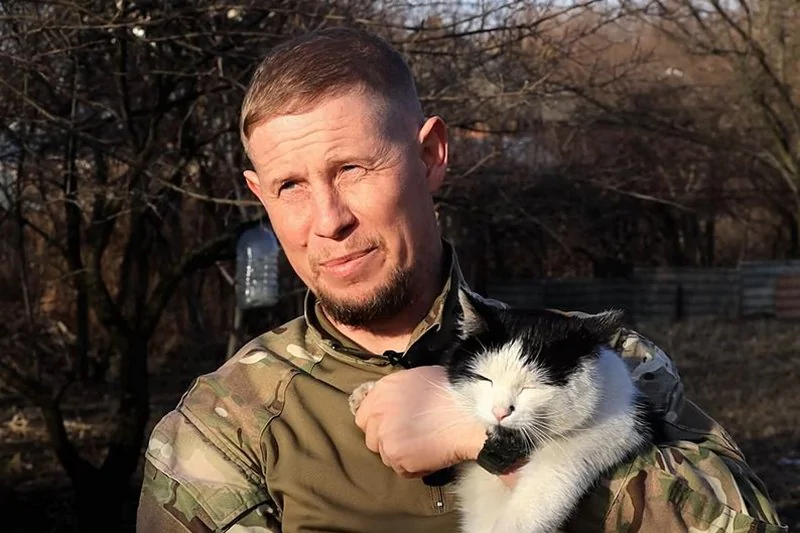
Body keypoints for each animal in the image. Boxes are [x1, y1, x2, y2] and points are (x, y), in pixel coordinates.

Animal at [349, 289, 655, 533]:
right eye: (485, 379)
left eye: (533, 387)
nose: (500, 411)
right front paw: (366, 392)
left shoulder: (616, 428)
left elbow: (546, 487)